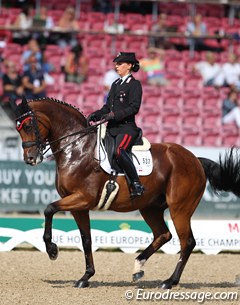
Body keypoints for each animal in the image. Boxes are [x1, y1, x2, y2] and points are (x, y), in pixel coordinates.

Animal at [11, 97, 240, 288]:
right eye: (18, 129)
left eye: (29, 125)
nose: (30, 159)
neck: (76, 149)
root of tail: (195, 160)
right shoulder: (79, 206)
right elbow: (86, 239)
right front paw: (85, 277)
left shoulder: (82, 199)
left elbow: (49, 209)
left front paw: (52, 250)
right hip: (150, 208)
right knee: (163, 234)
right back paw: (138, 267)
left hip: (180, 209)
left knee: (187, 242)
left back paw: (169, 281)